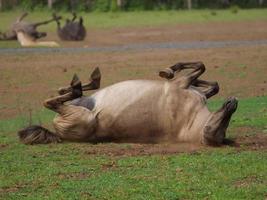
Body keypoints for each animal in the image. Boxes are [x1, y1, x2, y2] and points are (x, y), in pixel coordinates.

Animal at [18, 62, 239, 145]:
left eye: (216, 130)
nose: (233, 103)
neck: (190, 121)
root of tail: (59, 135)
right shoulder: (187, 85)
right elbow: (212, 82)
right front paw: (167, 71)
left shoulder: (181, 84)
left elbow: (201, 69)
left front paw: (167, 70)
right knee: (63, 93)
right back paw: (88, 82)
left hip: (84, 116)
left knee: (52, 101)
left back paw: (81, 84)